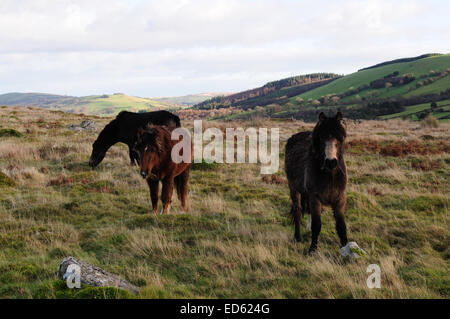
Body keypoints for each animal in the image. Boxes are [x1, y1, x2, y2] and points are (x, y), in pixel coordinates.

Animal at [284, 112, 348, 255]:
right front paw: (312, 249)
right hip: (293, 189)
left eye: (340, 138)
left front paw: (347, 247)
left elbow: (341, 225)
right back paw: (297, 237)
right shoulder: (315, 198)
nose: (331, 162)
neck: (330, 175)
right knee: (297, 211)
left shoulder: (340, 199)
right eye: (321, 138)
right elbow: (317, 225)